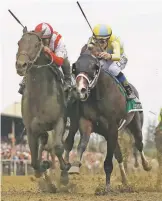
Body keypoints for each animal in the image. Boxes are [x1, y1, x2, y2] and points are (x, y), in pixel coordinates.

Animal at [15, 27, 70, 187]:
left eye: (36, 45)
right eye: (19, 42)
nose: (20, 65)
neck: (40, 95)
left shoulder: (60, 121)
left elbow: (58, 148)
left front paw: (64, 174)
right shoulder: (30, 129)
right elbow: (34, 159)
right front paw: (42, 168)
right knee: (43, 144)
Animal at [67, 48, 151, 193]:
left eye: (93, 68)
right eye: (75, 68)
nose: (80, 90)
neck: (98, 96)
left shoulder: (112, 127)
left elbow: (107, 162)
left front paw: (106, 189)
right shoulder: (87, 122)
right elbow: (82, 144)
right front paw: (75, 165)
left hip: (135, 125)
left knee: (139, 144)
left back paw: (146, 165)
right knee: (119, 155)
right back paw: (125, 181)